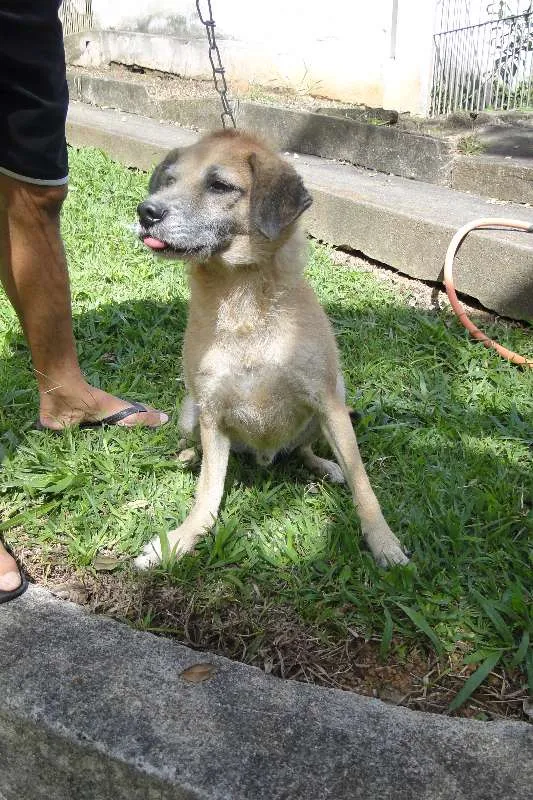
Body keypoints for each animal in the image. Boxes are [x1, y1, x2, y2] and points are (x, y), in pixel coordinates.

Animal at [133, 130, 408, 568]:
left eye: (219, 185)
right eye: (169, 181)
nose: (146, 212)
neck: (244, 303)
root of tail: (265, 456)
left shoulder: (327, 401)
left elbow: (364, 484)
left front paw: (382, 540)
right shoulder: (211, 413)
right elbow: (207, 496)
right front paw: (179, 540)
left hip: (334, 400)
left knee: (304, 449)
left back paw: (327, 466)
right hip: (189, 413)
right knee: (199, 452)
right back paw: (188, 459)